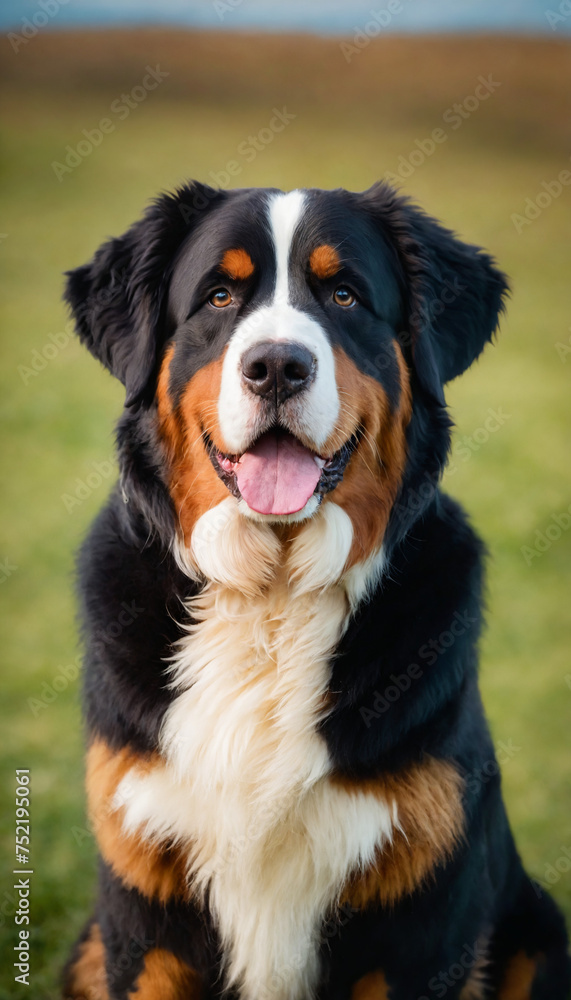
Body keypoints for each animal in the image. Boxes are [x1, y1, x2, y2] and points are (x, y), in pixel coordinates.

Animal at [60, 186, 568, 1000]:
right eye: (219, 295)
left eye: (343, 295)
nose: (276, 366)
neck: (271, 600)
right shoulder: (144, 913)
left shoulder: (424, 924)